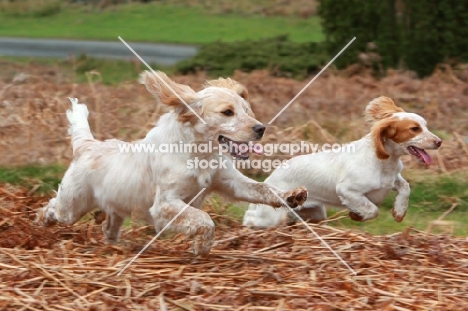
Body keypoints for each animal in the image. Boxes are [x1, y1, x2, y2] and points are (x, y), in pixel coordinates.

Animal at [36, 72, 308, 258]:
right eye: (227, 112)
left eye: (247, 109)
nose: (261, 128)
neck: (198, 152)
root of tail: (87, 145)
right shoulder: (166, 203)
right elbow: (205, 220)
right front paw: (202, 246)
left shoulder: (231, 182)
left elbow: (264, 189)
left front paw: (292, 195)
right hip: (71, 207)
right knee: (51, 207)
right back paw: (40, 223)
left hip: (115, 209)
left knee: (108, 227)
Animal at [241, 96, 442, 228]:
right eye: (414, 129)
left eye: (425, 126)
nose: (439, 142)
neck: (384, 161)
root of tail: (270, 178)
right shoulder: (347, 189)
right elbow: (372, 210)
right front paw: (356, 215)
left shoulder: (393, 179)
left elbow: (405, 187)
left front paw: (399, 212)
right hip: (270, 216)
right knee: (251, 219)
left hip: (316, 214)